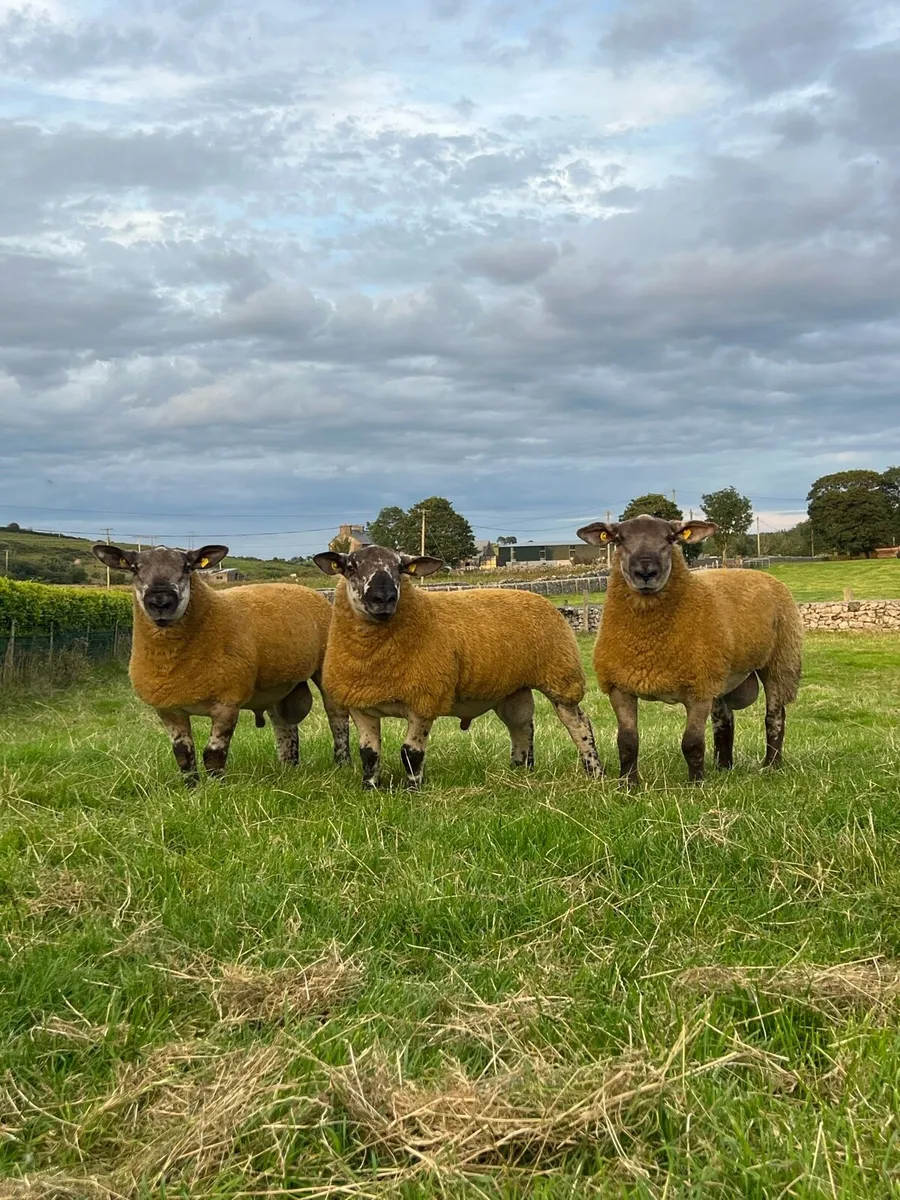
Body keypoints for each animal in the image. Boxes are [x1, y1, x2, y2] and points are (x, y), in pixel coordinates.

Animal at [91, 543, 350, 784]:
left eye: (187, 567)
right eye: (134, 569)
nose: (161, 601)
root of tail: (307, 590)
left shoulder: (227, 702)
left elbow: (213, 755)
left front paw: (218, 788)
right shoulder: (168, 708)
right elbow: (183, 754)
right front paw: (192, 789)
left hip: (326, 667)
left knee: (336, 718)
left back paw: (341, 764)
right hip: (276, 686)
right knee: (285, 726)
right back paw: (288, 769)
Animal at [312, 543, 602, 789]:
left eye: (400, 568)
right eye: (351, 567)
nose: (384, 598)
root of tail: (540, 599)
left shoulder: (425, 699)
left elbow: (410, 753)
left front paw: (413, 790)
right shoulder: (360, 703)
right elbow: (369, 753)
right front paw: (370, 788)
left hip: (561, 677)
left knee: (579, 724)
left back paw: (594, 772)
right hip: (513, 689)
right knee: (522, 726)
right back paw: (519, 770)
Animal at [576, 515, 802, 786]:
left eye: (670, 538)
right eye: (619, 539)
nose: (645, 573)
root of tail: (756, 573)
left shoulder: (698, 689)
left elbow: (692, 743)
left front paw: (696, 785)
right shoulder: (620, 687)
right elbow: (627, 742)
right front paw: (628, 784)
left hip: (779, 661)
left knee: (774, 716)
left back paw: (771, 765)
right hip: (720, 673)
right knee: (724, 720)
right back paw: (724, 767)